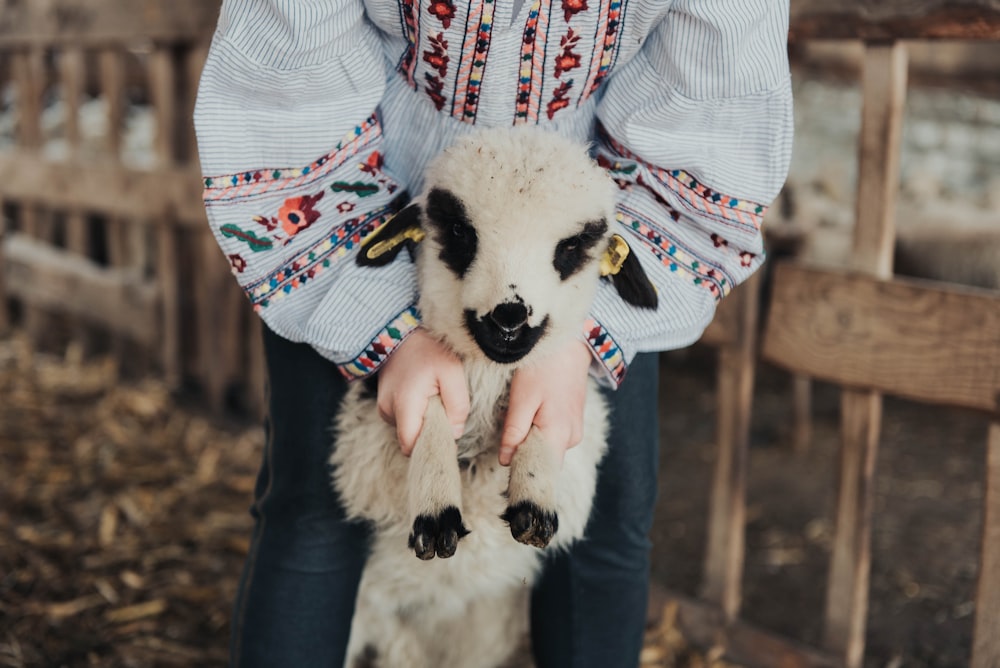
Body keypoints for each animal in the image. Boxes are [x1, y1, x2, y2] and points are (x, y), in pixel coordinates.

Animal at [328, 126, 656, 668]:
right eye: (462, 232)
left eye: (570, 246)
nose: (509, 317)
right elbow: (430, 406)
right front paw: (436, 510)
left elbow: (543, 419)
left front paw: (533, 497)